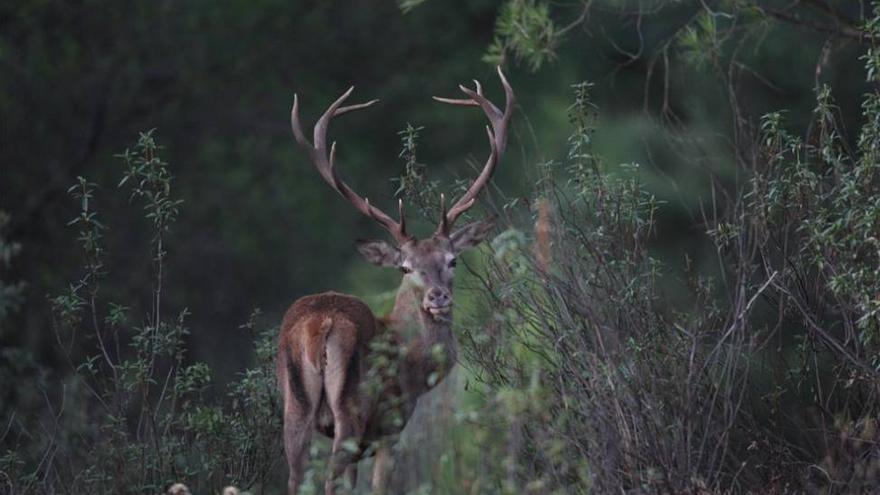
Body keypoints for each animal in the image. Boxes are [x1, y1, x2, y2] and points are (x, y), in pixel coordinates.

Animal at [276, 69, 516, 495]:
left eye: (452, 260)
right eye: (404, 267)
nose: (437, 297)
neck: (416, 367)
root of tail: (319, 325)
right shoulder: (390, 427)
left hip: (295, 407)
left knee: (294, 476)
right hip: (352, 409)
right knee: (330, 478)